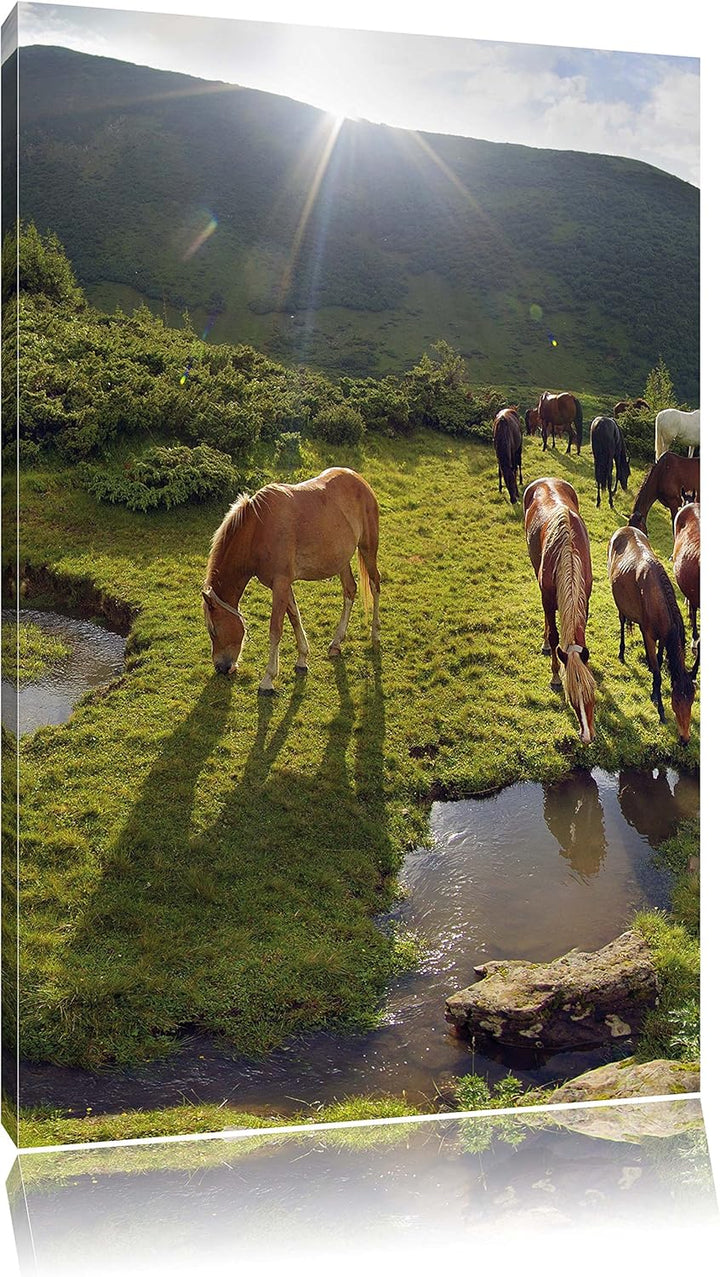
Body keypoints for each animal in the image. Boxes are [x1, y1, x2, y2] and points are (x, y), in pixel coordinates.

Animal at [202, 467, 380, 692]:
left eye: (213, 630)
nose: (221, 668)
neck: (258, 529)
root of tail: (360, 480)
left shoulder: (280, 584)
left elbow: (275, 629)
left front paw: (268, 679)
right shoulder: (283, 585)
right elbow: (295, 617)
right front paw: (302, 659)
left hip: (368, 549)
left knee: (375, 585)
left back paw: (375, 634)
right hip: (341, 561)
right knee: (350, 590)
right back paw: (336, 643)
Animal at [523, 477, 596, 743]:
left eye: (592, 695)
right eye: (572, 699)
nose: (586, 736)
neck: (568, 551)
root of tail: (547, 480)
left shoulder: (585, 598)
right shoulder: (547, 598)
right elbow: (555, 637)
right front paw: (555, 676)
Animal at [607, 524, 695, 744]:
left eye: (692, 701)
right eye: (676, 701)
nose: (684, 739)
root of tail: (625, 527)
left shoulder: (662, 633)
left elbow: (660, 657)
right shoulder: (649, 633)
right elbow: (658, 672)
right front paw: (660, 706)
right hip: (620, 604)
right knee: (622, 621)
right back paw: (622, 652)